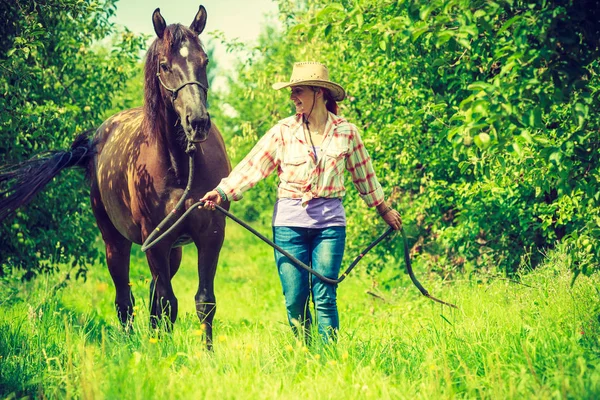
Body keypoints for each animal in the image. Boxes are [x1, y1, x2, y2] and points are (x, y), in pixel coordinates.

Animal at [0, 5, 230, 350]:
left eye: (203, 61)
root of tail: (96, 140)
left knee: (151, 296)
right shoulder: (155, 239)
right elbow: (167, 302)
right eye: (165, 65)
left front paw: (207, 355)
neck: (181, 166)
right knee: (126, 299)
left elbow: (203, 301)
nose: (198, 122)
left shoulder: (210, 234)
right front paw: (164, 353)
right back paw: (128, 345)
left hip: (173, 249)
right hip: (115, 242)